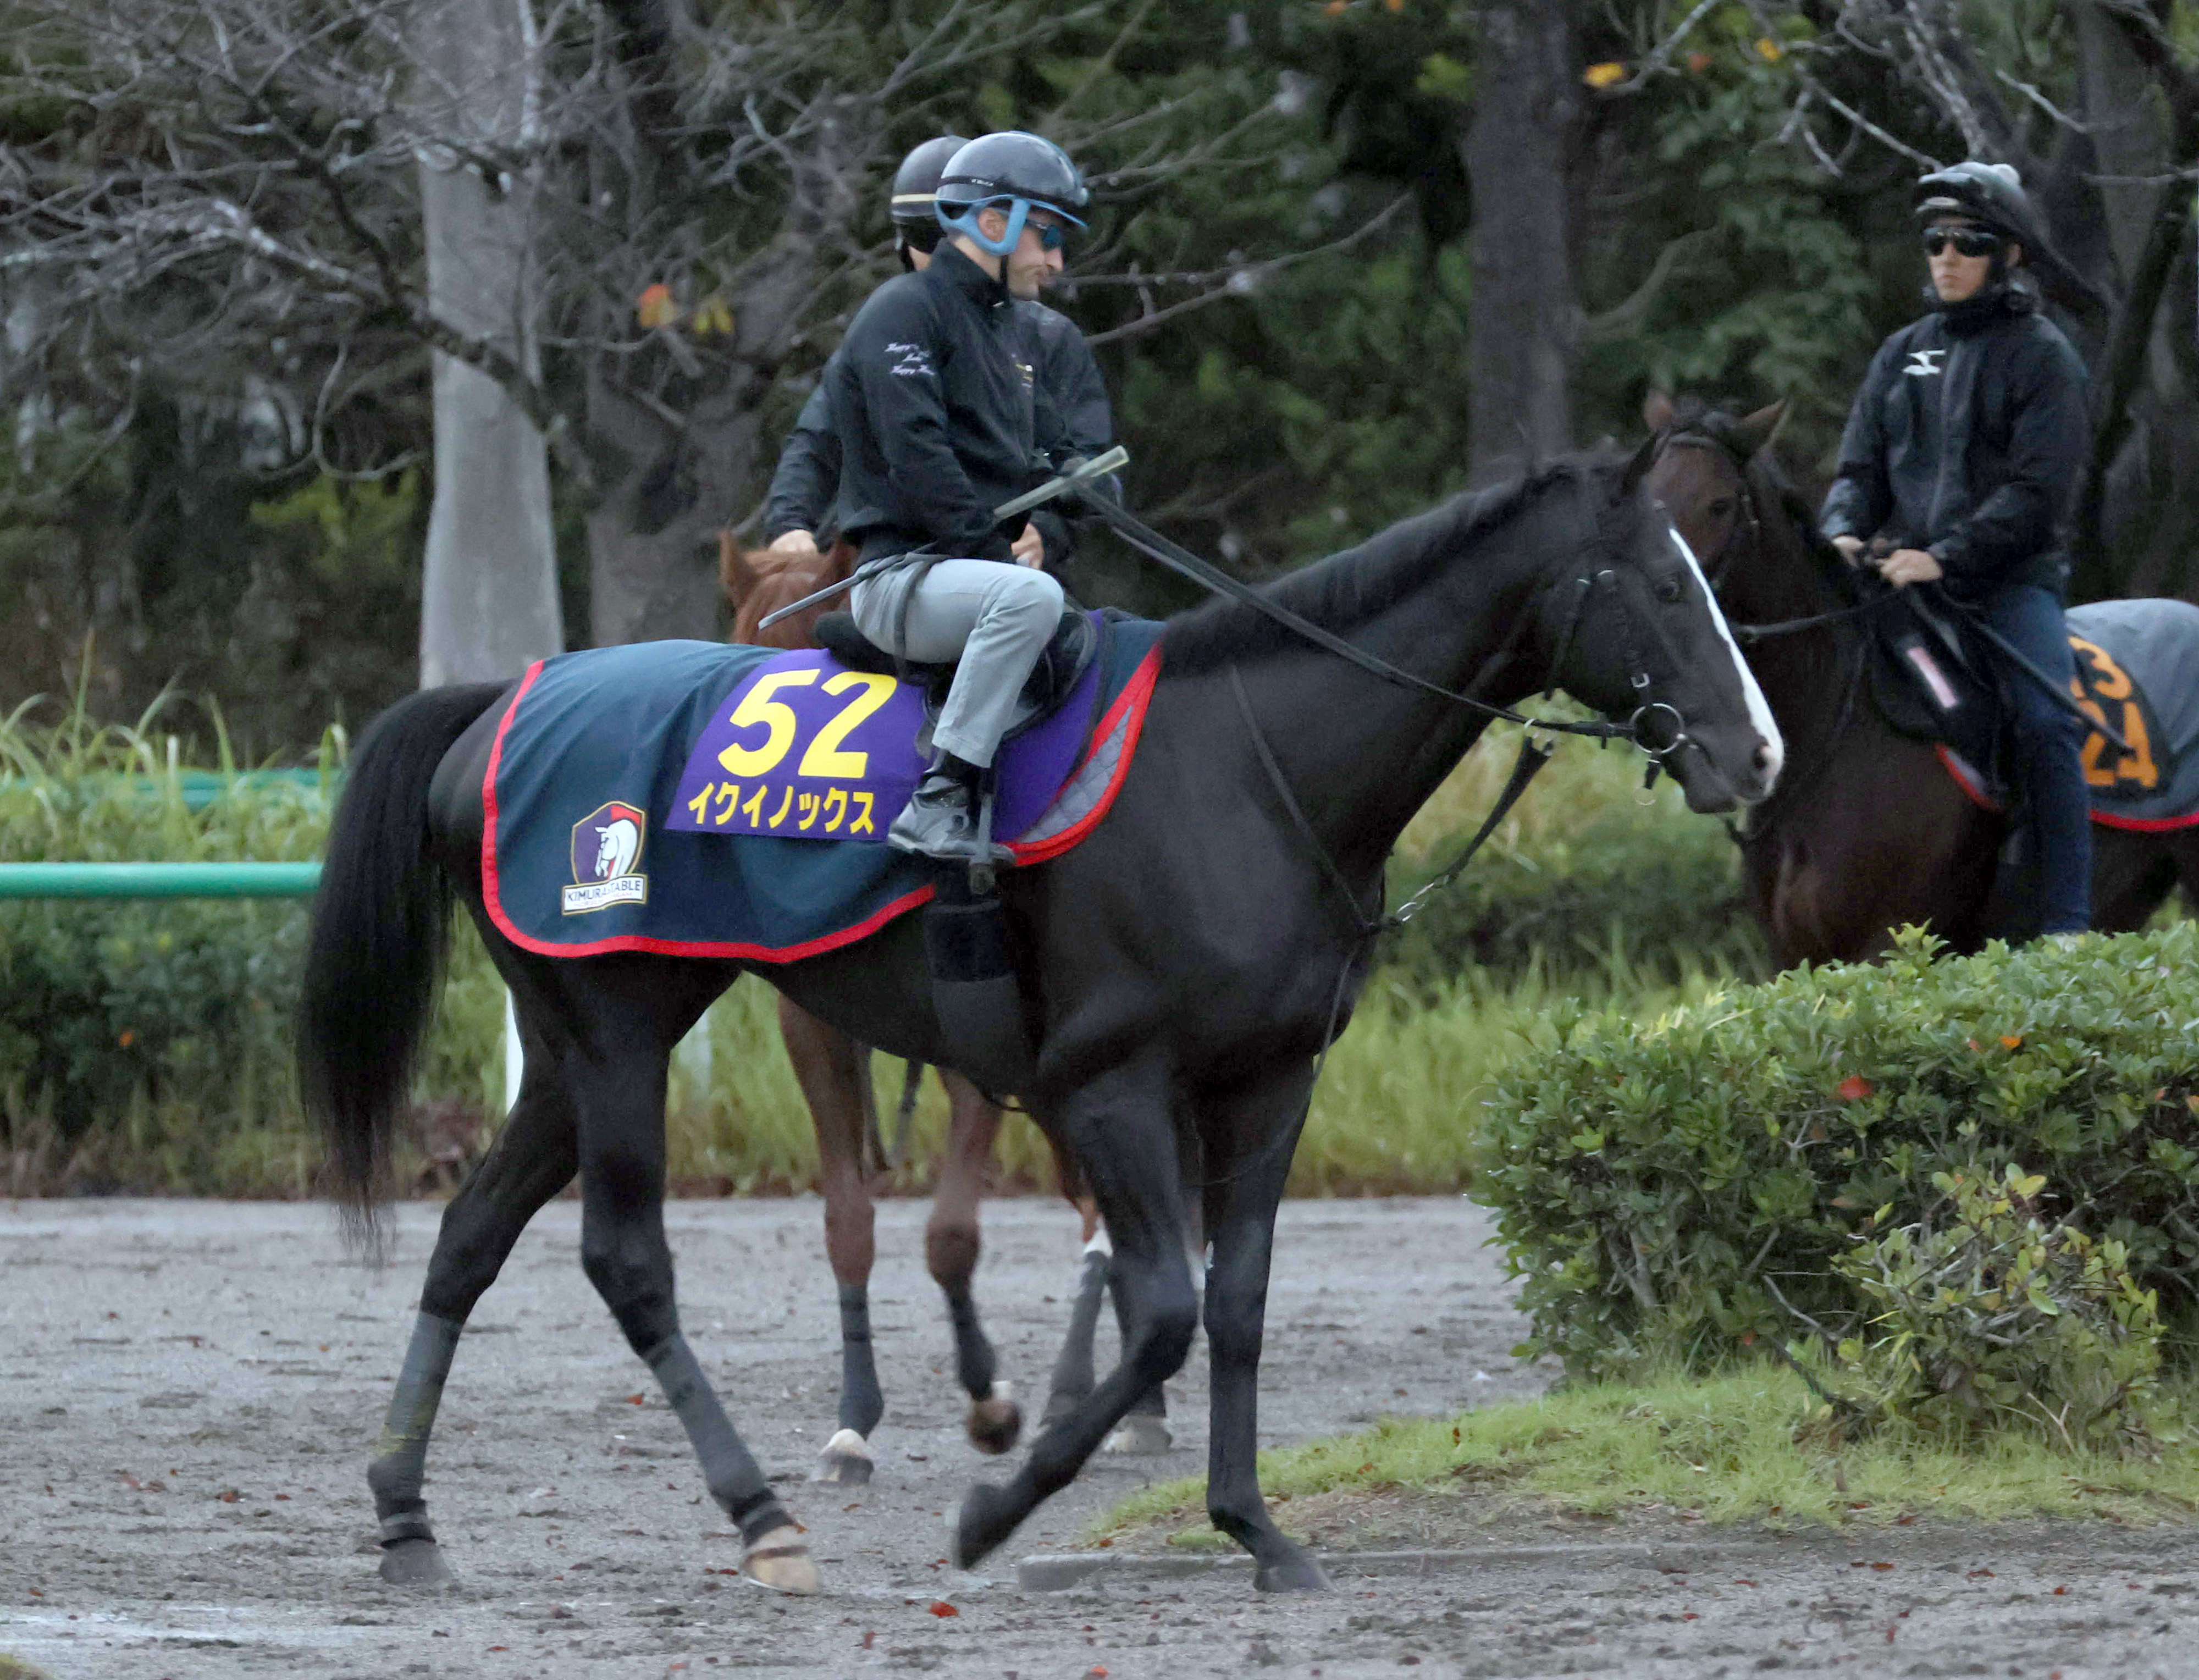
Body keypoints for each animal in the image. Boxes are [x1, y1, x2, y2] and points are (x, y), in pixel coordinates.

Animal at [301, 453, 1777, 1592]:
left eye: (1708, 577)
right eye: (1662, 586)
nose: (1755, 753)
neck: (1244, 769)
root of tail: (499, 703)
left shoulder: (1267, 1083)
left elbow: (1233, 1303)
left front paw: (1253, 1525)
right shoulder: (1108, 1085)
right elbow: (1161, 1309)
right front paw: (994, 1507)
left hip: (582, 1040)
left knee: (470, 1234)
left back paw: (403, 1514)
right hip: (612, 1037)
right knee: (627, 1261)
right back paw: (761, 1514)